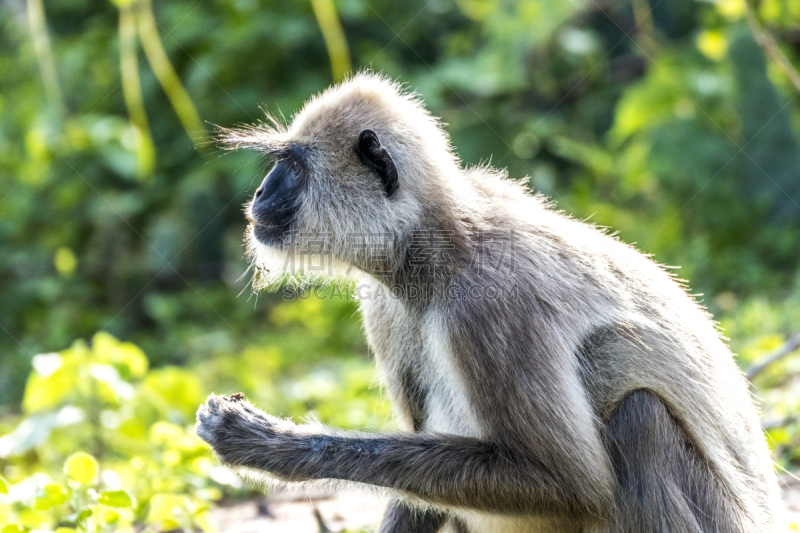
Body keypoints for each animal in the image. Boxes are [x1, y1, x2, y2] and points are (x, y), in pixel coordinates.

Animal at [197, 71, 784, 532]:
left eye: (293, 168)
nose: (260, 195)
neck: (443, 252)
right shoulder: (385, 303)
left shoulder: (491, 307)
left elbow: (576, 484)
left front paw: (275, 447)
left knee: (640, 416)